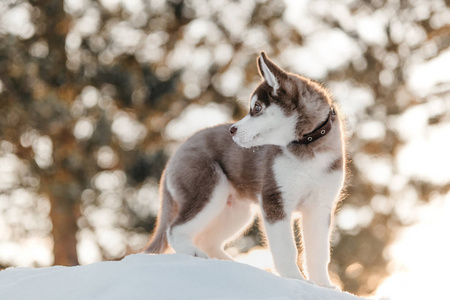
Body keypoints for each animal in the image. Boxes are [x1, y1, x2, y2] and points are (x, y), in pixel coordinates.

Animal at [146, 52, 346, 288]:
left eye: (257, 108)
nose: (232, 130)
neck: (307, 146)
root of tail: (177, 152)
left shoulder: (319, 207)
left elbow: (319, 252)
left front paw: (323, 285)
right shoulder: (275, 199)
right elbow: (287, 248)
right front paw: (295, 279)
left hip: (236, 211)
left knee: (207, 240)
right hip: (208, 190)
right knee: (175, 229)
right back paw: (195, 254)